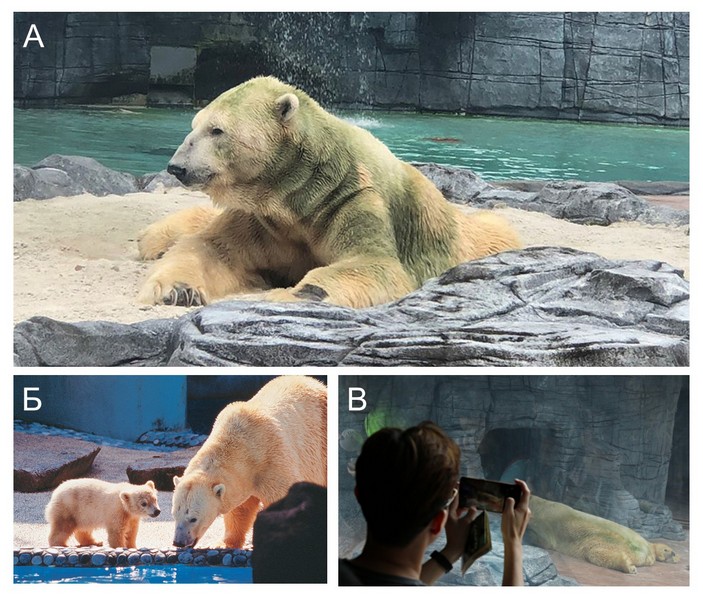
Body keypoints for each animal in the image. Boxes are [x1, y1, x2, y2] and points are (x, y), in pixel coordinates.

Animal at [137, 75, 520, 308]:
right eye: (193, 125)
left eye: (216, 130)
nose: (177, 167)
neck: (300, 191)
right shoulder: (264, 217)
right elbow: (213, 247)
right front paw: (178, 291)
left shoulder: (351, 200)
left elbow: (374, 264)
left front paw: (291, 295)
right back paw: (151, 239)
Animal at [171, 375, 327, 549]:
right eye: (174, 514)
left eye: (193, 518)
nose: (178, 542)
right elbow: (240, 509)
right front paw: (225, 543)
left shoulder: (273, 460)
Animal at [526, 495, 680, 574]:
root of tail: (648, 553)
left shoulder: (546, 525)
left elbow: (542, 539)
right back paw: (669, 554)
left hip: (604, 541)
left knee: (596, 553)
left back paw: (628, 566)